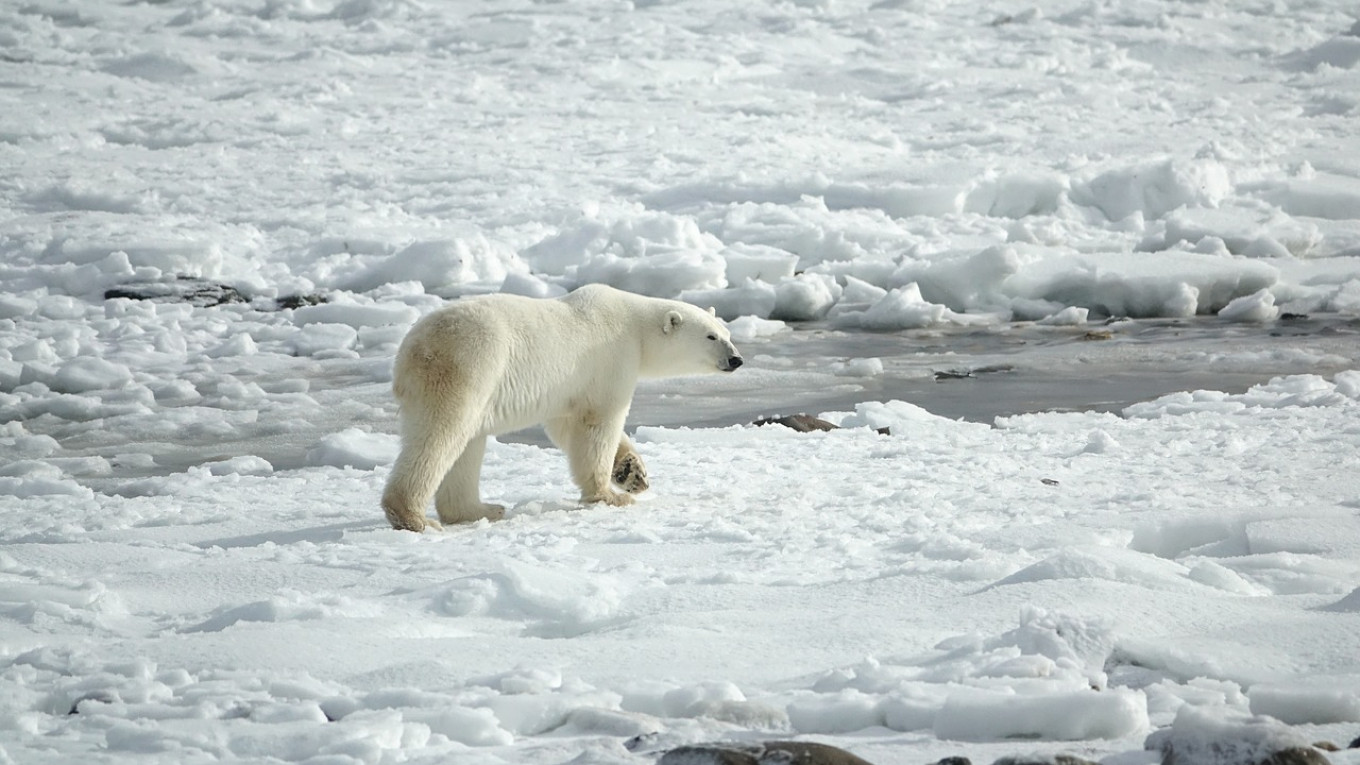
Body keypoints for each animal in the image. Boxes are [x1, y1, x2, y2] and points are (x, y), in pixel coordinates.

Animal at [380, 281, 745, 530]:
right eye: (711, 336)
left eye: (727, 333)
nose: (736, 359)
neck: (635, 327)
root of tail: (411, 351)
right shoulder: (610, 359)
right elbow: (599, 423)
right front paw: (610, 495)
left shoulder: (568, 388)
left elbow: (566, 425)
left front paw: (632, 473)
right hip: (469, 365)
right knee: (442, 435)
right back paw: (414, 517)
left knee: (467, 444)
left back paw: (482, 509)